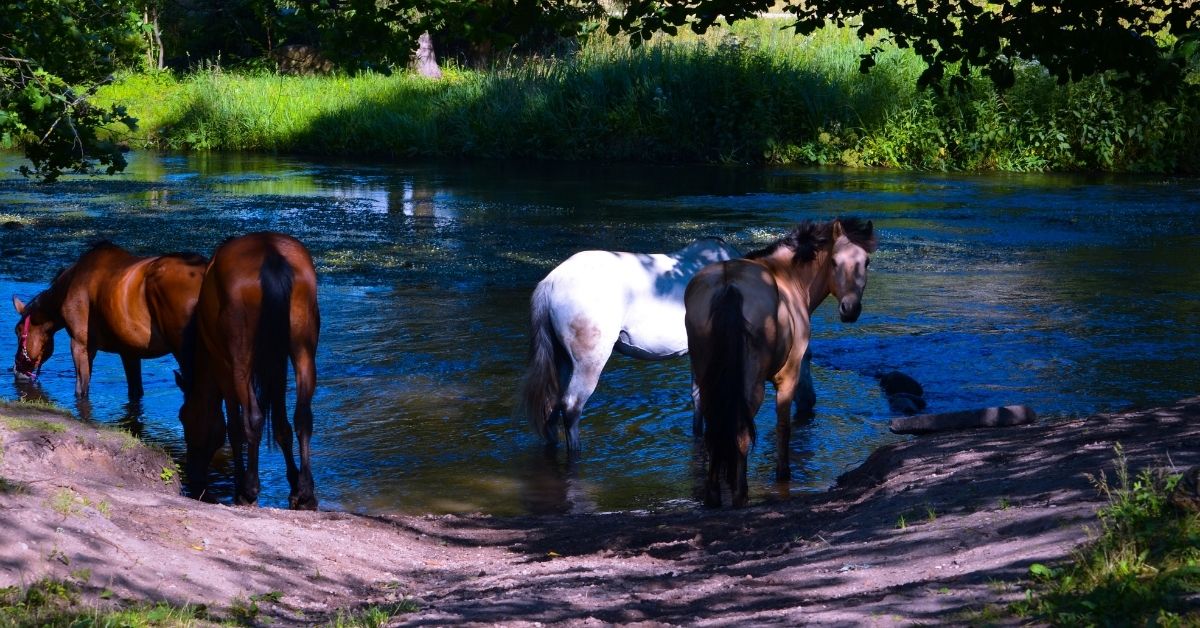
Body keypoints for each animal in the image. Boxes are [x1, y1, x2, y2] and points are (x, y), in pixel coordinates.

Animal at [11, 244, 207, 398]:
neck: (70, 284)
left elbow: (81, 390)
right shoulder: (129, 353)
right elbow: (135, 391)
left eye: (18, 330)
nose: (17, 370)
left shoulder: (81, 346)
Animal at [175, 231, 321, 511]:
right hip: (303, 352)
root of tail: (270, 253)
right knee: (303, 417)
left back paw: (250, 489)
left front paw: (241, 487)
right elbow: (282, 425)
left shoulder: (222, 366)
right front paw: (294, 484)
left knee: (252, 418)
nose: (194, 478)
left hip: (240, 361)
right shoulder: (276, 365)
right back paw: (306, 492)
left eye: (185, 417)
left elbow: (234, 427)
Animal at [518, 237, 739, 451]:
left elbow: (698, 396)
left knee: (551, 406)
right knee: (572, 407)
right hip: (588, 363)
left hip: (562, 360)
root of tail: (551, 281)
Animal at [686, 218, 883, 509]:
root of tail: (728, 285)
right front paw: (783, 474)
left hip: (707, 378)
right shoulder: (788, 377)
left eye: (866, 262)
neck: (788, 277)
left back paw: (713, 496)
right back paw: (740, 494)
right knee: (741, 433)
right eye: (834, 262)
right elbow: (783, 428)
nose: (850, 309)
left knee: (714, 431)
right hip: (751, 385)